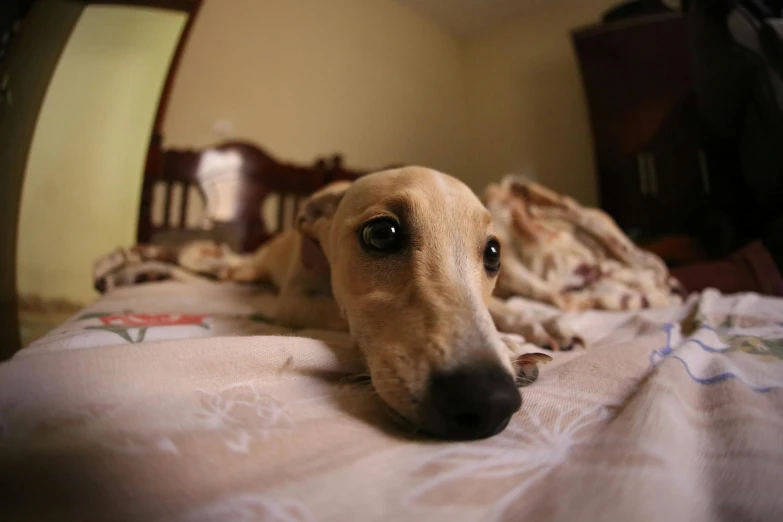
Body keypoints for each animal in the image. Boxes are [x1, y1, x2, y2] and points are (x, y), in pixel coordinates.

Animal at [220, 166, 576, 434]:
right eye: (381, 234)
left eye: (493, 252)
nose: (489, 399)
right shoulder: (295, 302)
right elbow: (343, 316)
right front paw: (513, 349)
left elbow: (501, 308)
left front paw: (536, 328)